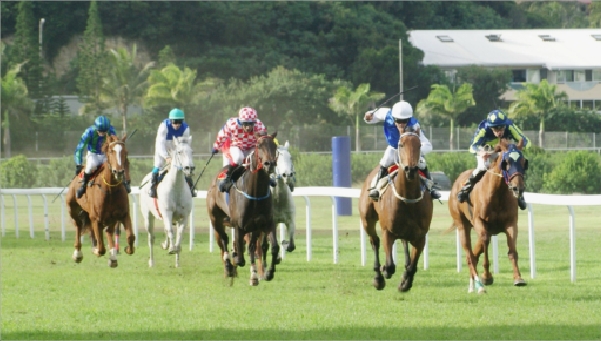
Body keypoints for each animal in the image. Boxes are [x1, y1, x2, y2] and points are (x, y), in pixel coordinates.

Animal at [66, 133, 135, 266]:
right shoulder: (96, 218)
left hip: (110, 218)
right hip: (74, 209)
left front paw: (127, 249)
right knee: (79, 226)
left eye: (126, 152)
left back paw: (113, 256)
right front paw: (96, 250)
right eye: (111, 151)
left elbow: (130, 237)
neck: (110, 190)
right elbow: (101, 248)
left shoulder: (123, 214)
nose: (119, 172)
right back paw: (78, 254)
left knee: (108, 231)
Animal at [139, 137, 193, 266]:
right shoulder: (167, 212)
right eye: (179, 152)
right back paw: (152, 261)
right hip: (148, 216)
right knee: (151, 238)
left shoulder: (184, 216)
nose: (190, 168)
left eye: (191, 151)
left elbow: (179, 233)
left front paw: (176, 251)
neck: (176, 188)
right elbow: (170, 230)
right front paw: (172, 248)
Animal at [206, 131, 282, 286]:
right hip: (216, 220)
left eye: (274, 145)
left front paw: (268, 273)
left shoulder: (265, 224)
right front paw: (235, 260)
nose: (269, 164)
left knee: (251, 246)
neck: (255, 193)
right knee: (224, 240)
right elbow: (240, 256)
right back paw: (229, 267)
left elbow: (273, 247)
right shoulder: (239, 226)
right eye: (259, 145)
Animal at [356, 126, 432, 290]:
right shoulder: (387, 231)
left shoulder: (420, 236)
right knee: (374, 241)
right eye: (401, 144)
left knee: (404, 243)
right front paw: (385, 270)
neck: (407, 199)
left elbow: (412, 266)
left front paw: (405, 282)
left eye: (419, 145)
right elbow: (390, 265)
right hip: (367, 219)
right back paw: (378, 277)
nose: (410, 169)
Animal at [446, 138, 524, 292]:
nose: (518, 188)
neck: (497, 193)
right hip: (462, 224)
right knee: (469, 254)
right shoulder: (480, 222)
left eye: (523, 161)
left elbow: (512, 250)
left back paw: (473, 285)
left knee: (475, 253)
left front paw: (518, 278)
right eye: (506, 162)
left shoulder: (511, 223)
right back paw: (478, 285)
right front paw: (487, 277)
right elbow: (485, 242)